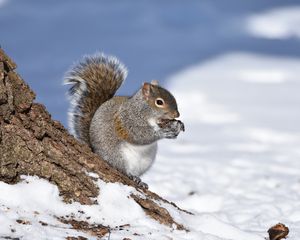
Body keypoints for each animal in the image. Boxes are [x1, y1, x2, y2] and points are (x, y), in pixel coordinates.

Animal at [64, 53, 184, 188]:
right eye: (159, 102)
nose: (177, 114)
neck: (143, 110)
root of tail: (95, 151)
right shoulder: (127, 120)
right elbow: (140, 135)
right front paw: (163, 133)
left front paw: (177, 126)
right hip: (116, 156)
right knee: (122, 169)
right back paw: (132, 176)